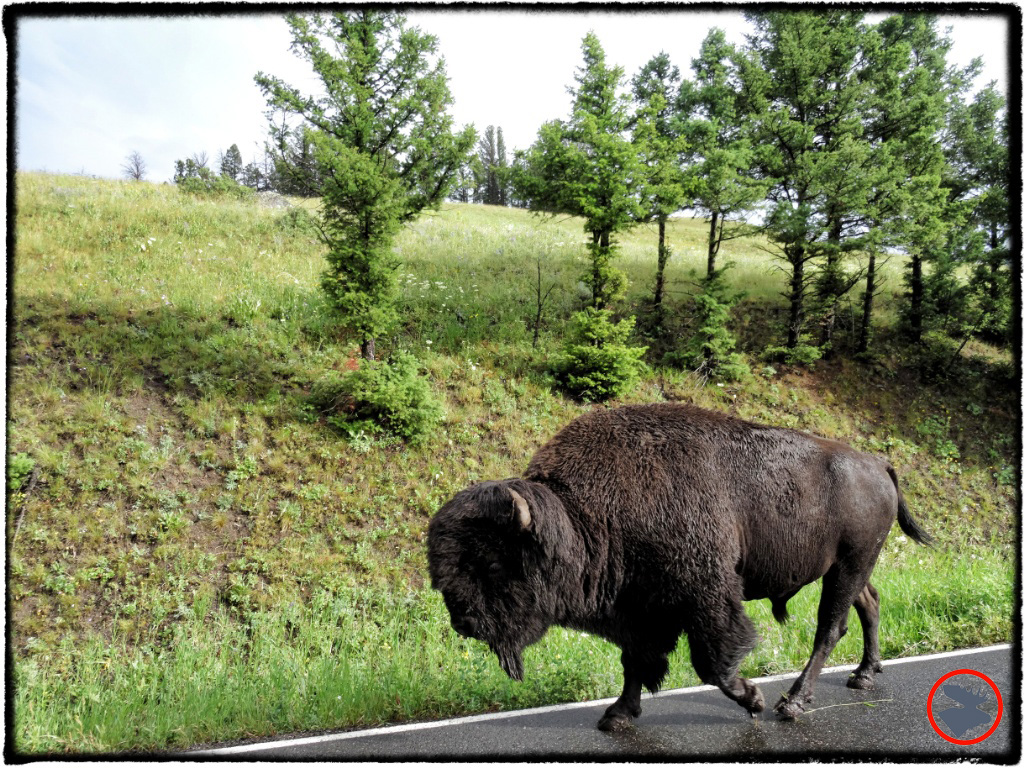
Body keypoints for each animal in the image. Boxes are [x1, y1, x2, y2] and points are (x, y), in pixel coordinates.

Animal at [428, 403, 933, 733]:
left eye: (493, 562)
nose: (463, 621)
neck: (582, 515)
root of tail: (879, 463)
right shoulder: (640, 610)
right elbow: (636, 661)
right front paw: (616, 716)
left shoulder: (706, 597)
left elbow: (712, 662)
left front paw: (753, 700)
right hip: (851, 567)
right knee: (869, 604)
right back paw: (864, 675)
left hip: (849, 565)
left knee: (830, 627)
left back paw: (792, 703)